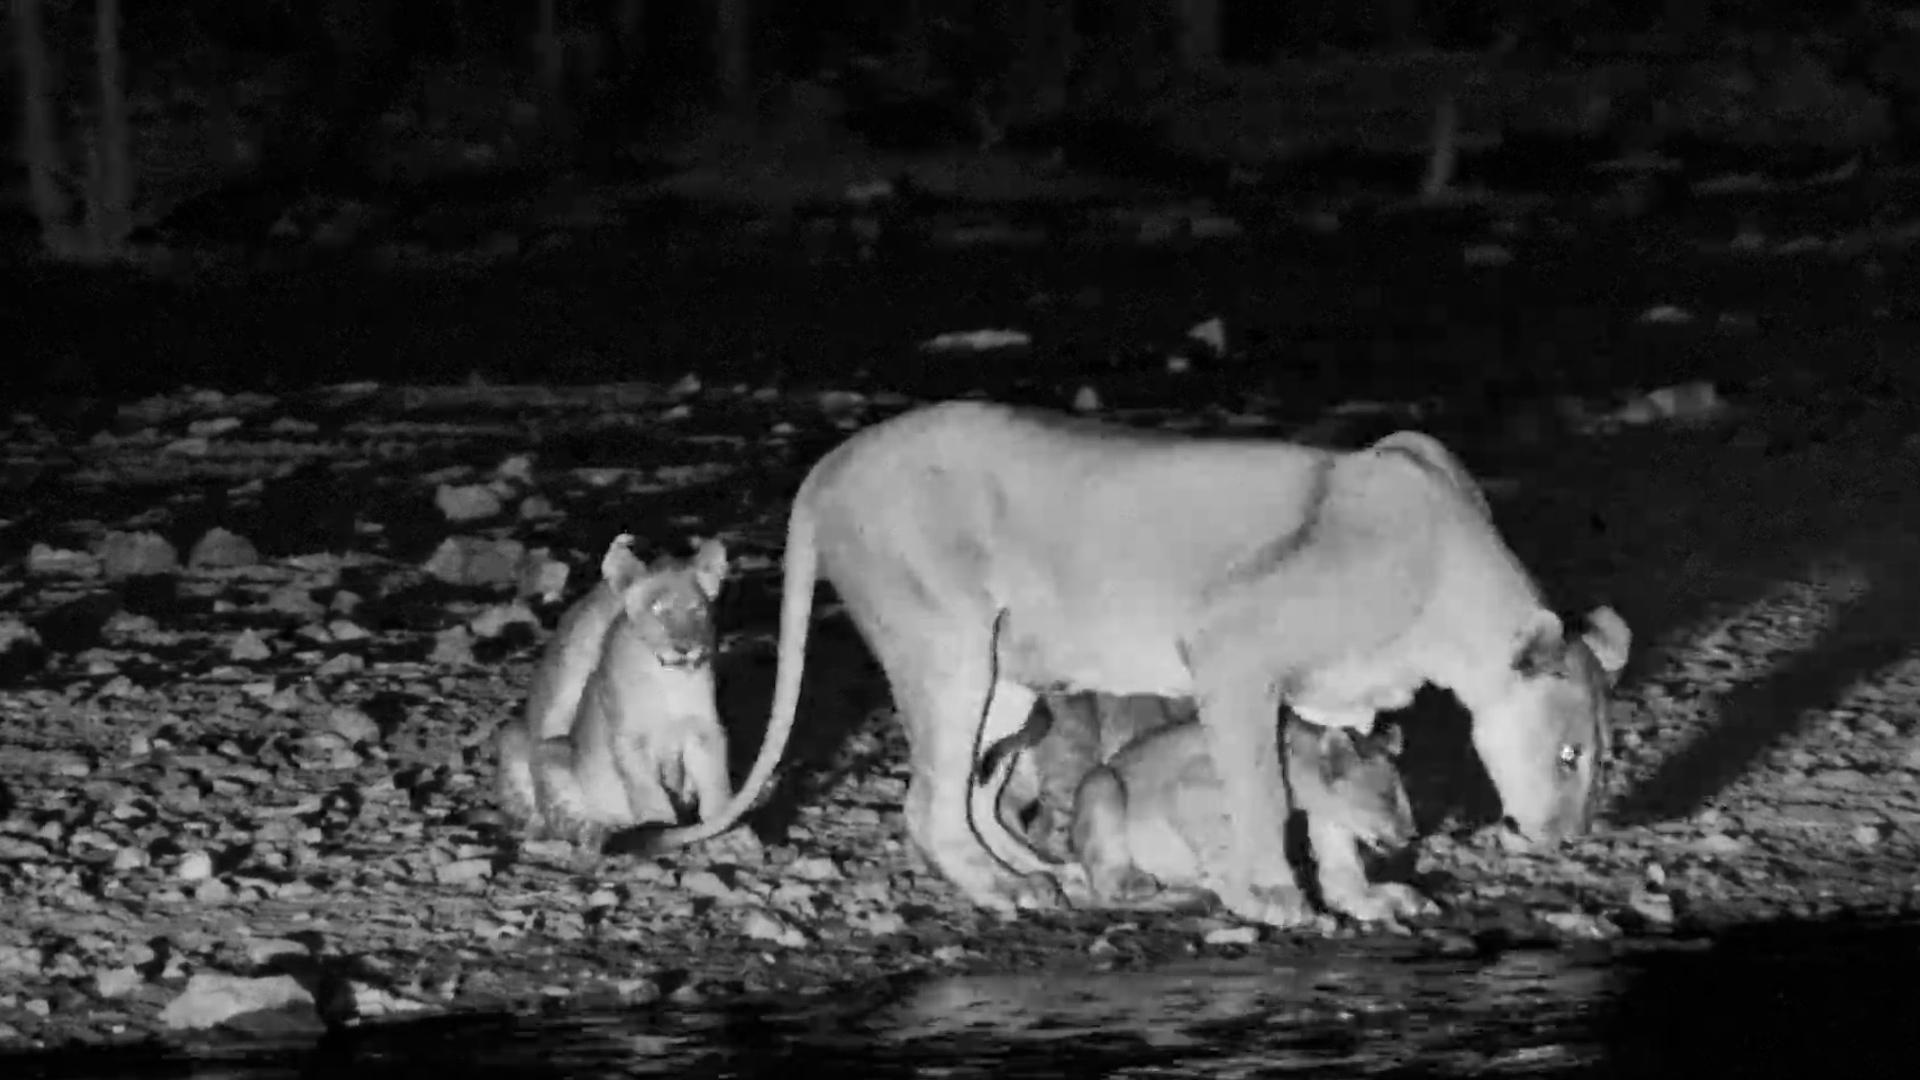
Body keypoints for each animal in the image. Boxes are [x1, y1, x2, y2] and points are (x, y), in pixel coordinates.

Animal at [495, 534, 733, 850]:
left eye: (698, 609)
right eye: (657, 610)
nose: (685, 648)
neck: (669, 678)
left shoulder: (703, 729)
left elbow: (715, 778)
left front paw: (722, 823)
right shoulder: (629, 739)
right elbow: (645, 789)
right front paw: (658, 827)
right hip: (547, 752)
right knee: (559, 819)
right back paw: (597, 833)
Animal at [612, 402, 1631, 928]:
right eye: (1571, 757)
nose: (1570, 838)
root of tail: (828, 465)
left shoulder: (1341, 701)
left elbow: (1334, 804)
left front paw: (1363, 896)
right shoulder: (1230, 650)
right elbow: (1264, 789)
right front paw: (1272, 894)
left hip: (1011, 683)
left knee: (972, 795)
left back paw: (1048, 873)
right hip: (949, 645)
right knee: (927, 805)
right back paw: (1008, 889)